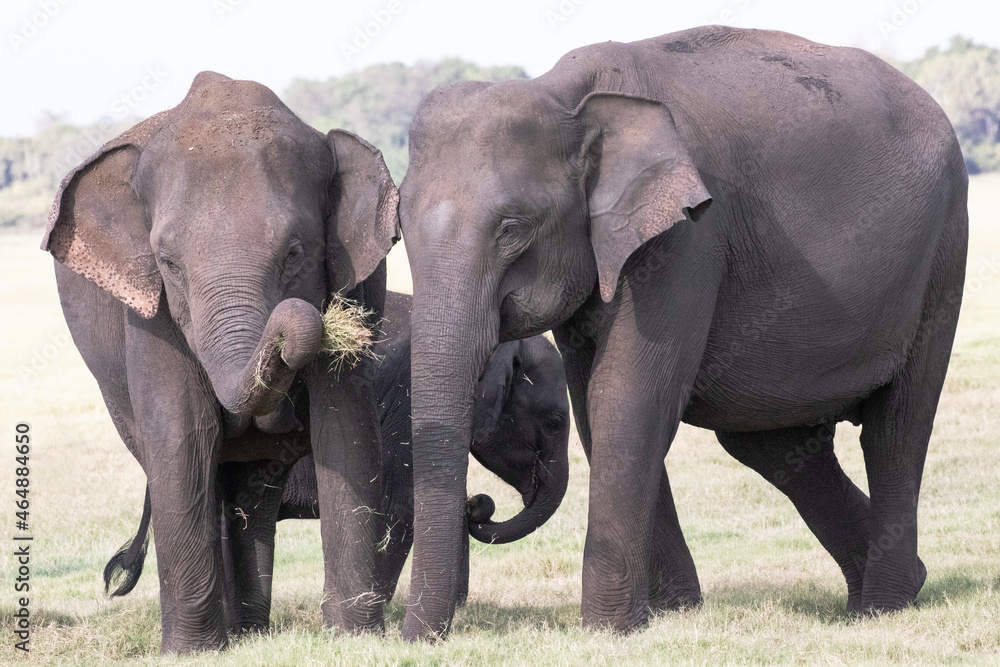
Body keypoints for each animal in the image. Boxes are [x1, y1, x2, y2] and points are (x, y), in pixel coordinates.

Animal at [43, 72, 398, 653]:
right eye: (169, 263)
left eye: (296, 253)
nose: (301, 316)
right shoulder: (150, 311)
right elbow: (184, 434)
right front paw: (188, 652)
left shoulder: (362, 277)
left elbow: (344, 427)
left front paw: (354, 641)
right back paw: (231, 633)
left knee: (252, 488)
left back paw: (249, 630)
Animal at [395, 25, 969, 638]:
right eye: (399, 223)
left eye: (512, 229)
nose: (478, 507)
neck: (566, 94)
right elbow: (598, 402)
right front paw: (671, 613)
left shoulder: (688, 238)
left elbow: (627, 397)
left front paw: (608, 630)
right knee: (774, 445)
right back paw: (905, 582)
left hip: (942, 255)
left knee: (896, 427)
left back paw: (883, 606)